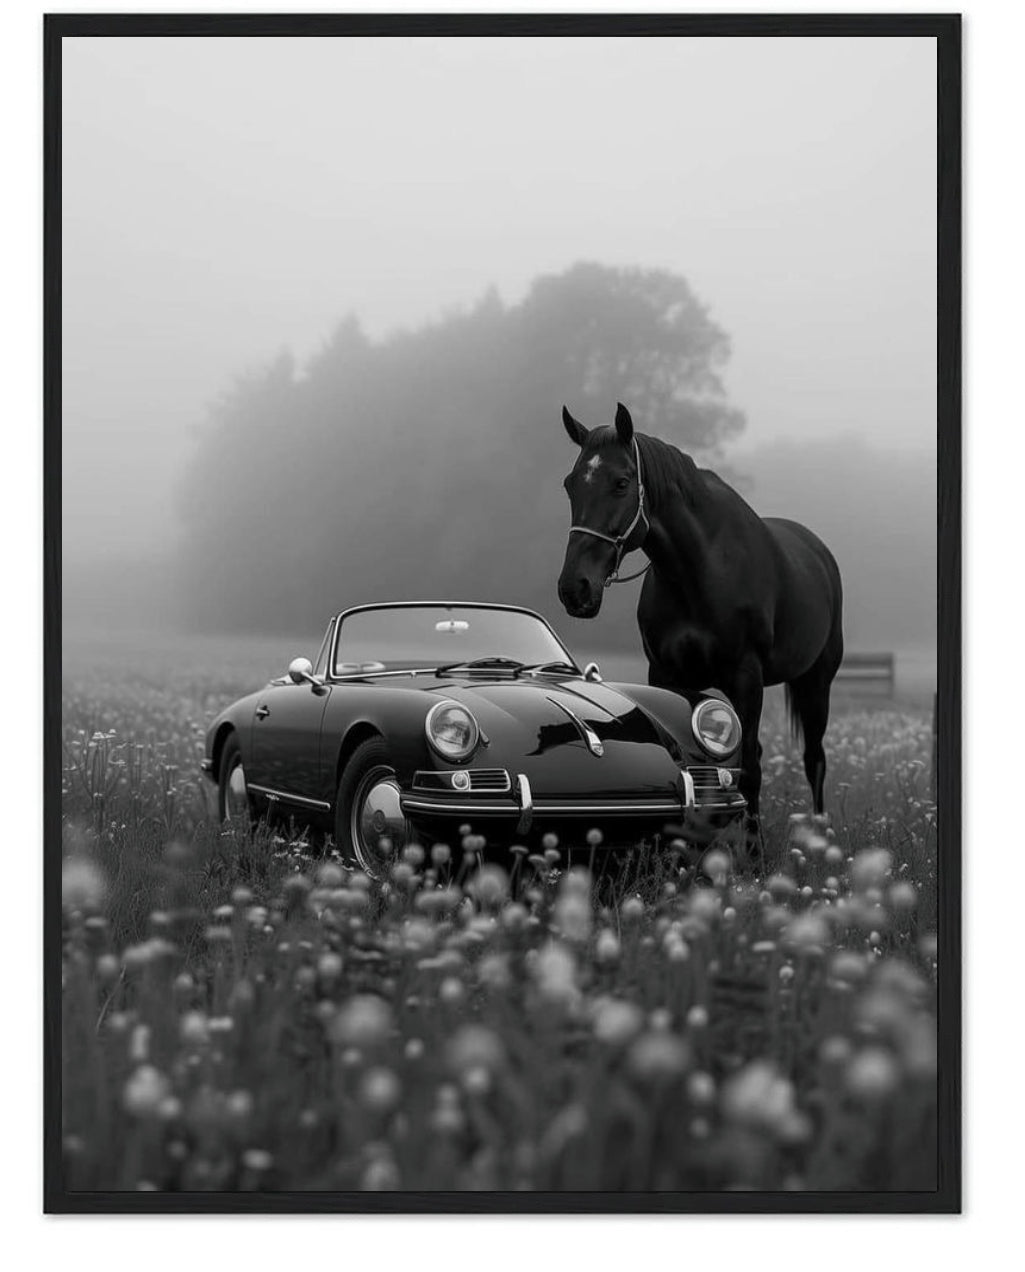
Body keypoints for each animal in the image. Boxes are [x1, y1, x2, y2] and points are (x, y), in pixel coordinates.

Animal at [557, 402, 844, 839]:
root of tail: (818, 551)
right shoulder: (664, 675)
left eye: (621, 483)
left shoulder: (746, 677)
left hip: (816, 681)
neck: (700, 571)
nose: (575, 588)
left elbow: (751, 770)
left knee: (815, 759)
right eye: (571, 484)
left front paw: (755, 852)